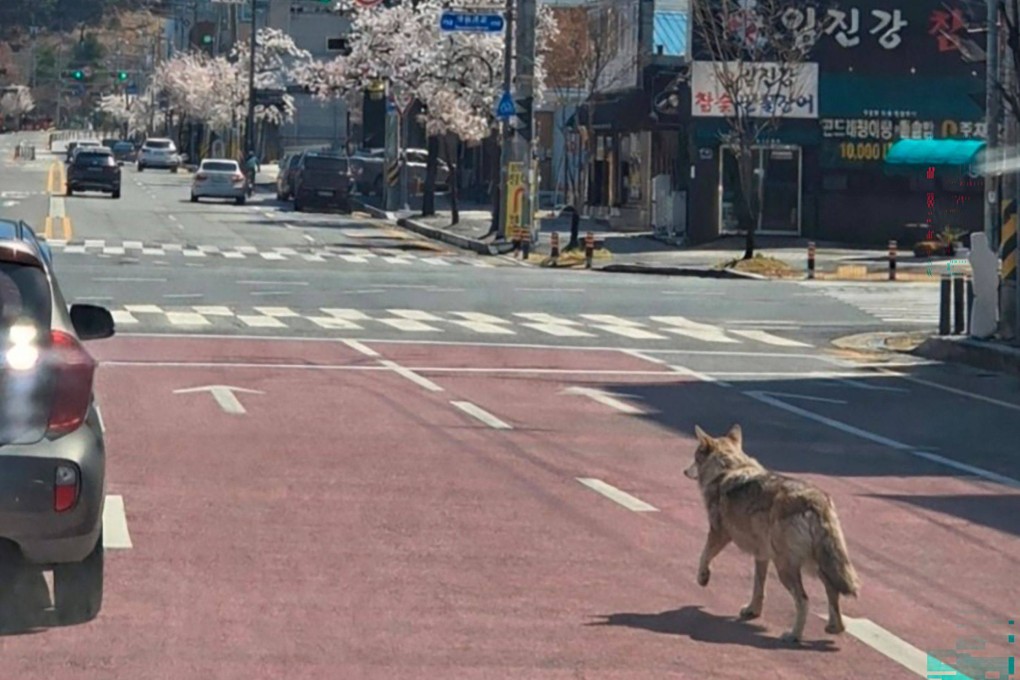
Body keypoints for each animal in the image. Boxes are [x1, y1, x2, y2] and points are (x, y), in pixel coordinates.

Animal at [684, 424, 860, 643]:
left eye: (695, 457)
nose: (684, 471)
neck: (729, 468)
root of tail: (816, 501)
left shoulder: (719, 533)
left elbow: (704, 556)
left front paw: (703, 578)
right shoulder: (761, 555)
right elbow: (758, 588)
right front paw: (752, 611)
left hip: (785, 567)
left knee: (804, 600)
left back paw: (793, 635)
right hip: (816, 564)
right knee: (832, 591)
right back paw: (834, 628)